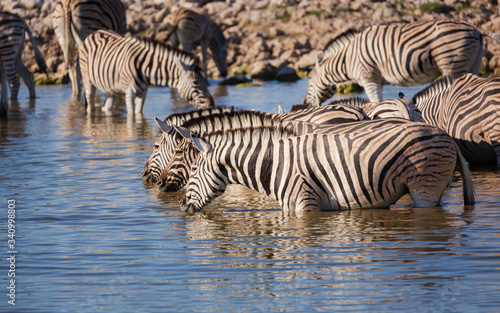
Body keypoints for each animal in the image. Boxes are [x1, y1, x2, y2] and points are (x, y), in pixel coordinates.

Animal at [79, 29, 214, 114]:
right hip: (87, 79)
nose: (211, 105)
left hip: (110, 88)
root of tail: (95, 32)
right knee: (90, 106)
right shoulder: (129, 92)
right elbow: (132, 116)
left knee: (107, 107)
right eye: (195, 83)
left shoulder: (143, 92)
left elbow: (139, 114)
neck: (146, 69)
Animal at [179, 123, 472, 211]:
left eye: (193, 171)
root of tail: (446, 134)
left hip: (425, 189)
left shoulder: (305, 203)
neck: (273, 165)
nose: (181, 206)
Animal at [304, 19, 500, 105]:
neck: (347, 58)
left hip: (453, 63)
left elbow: (376, 103)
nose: (305, 103)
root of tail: (475, 29)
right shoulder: (377, 81)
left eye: (309, 80)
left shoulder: (369, 78)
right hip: (474, 63)